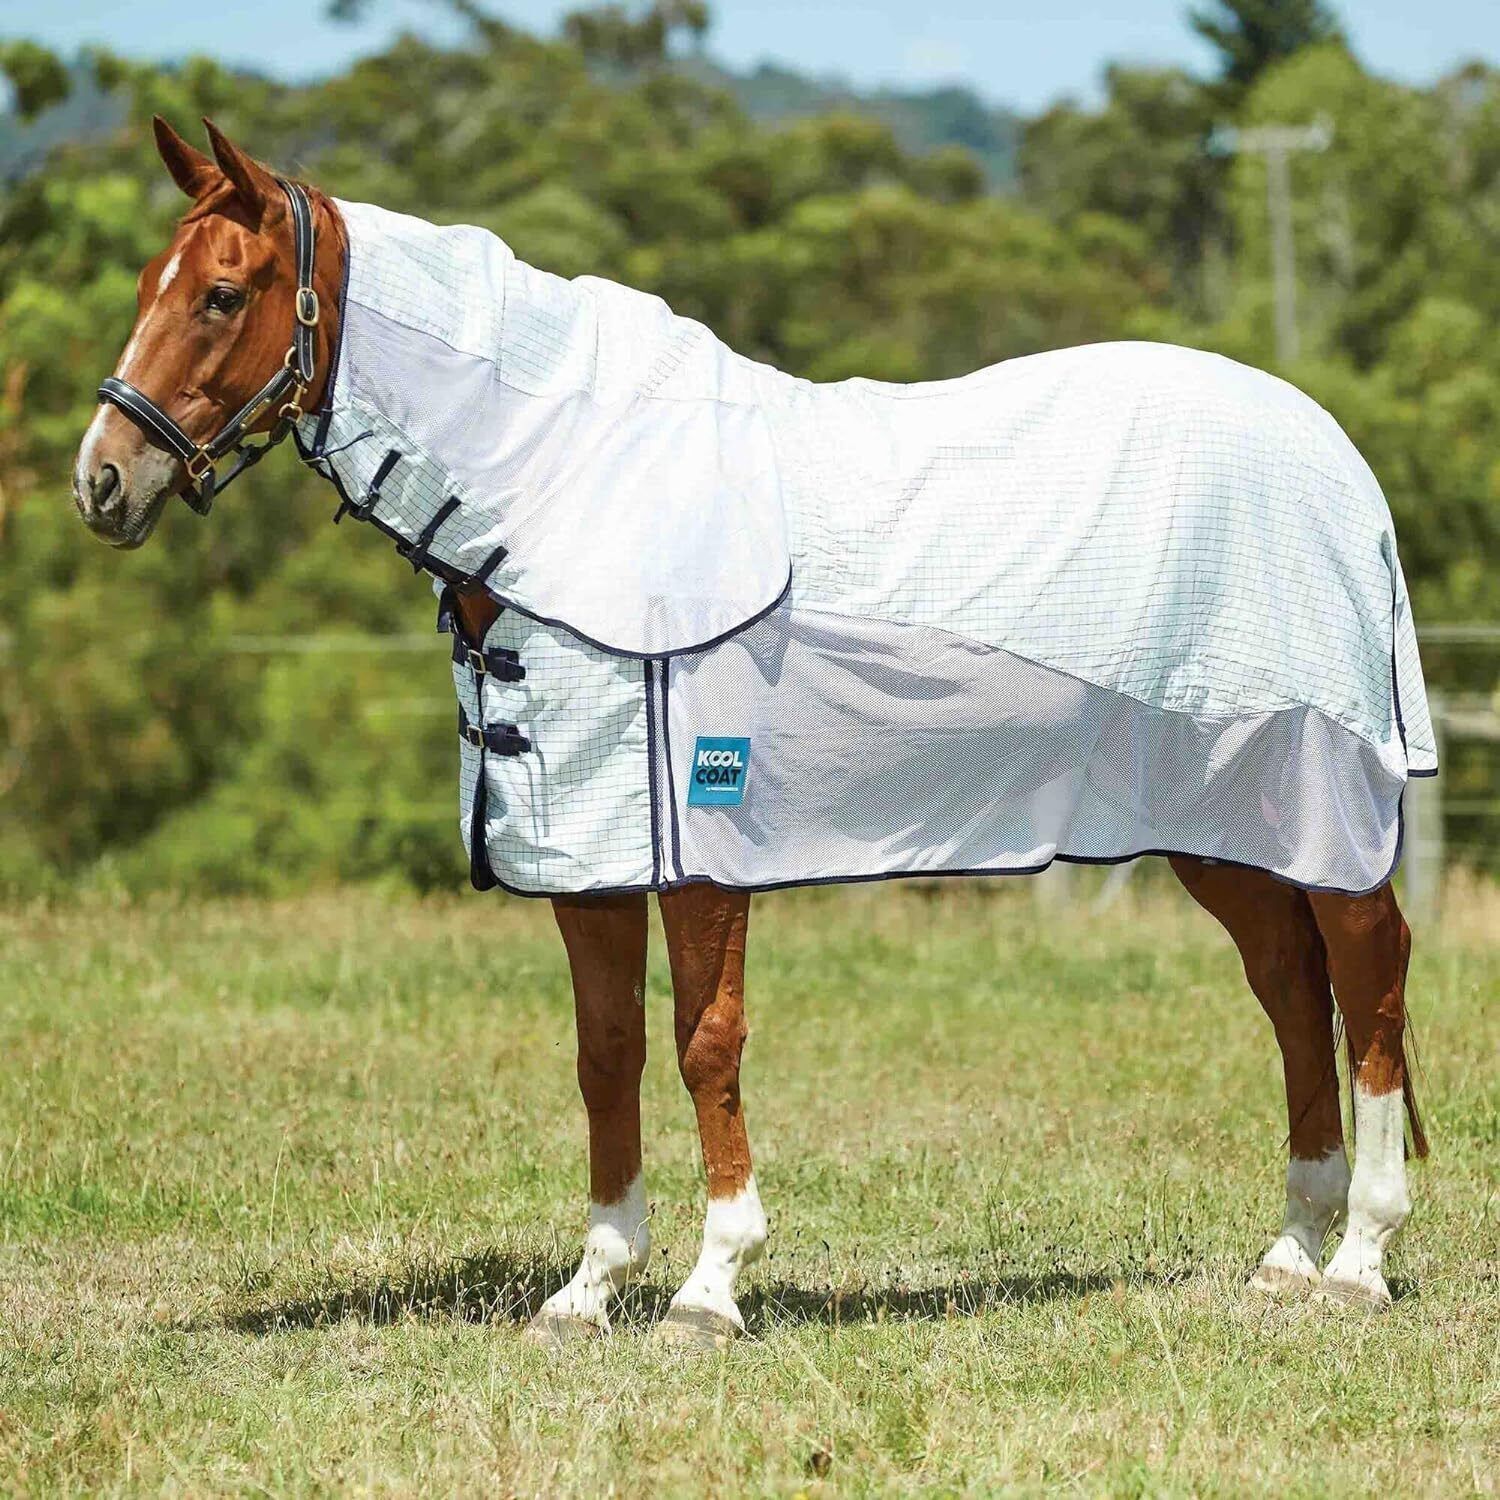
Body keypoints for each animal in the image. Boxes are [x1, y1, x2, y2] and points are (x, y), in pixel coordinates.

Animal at [72, 118, 1430, 1346]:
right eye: (147, 288)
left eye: (222, 295)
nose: (102, 479)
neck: (566, 492)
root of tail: (1340, 467)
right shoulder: (592, 851)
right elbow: (607, 1051)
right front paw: (590, 1287)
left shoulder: (701, 842)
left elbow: (702, 1045)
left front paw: (710, 1285)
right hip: (1223, 824)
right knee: (1289, 989)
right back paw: (1289, 1256)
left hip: (1317, 802)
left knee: (1367, 981)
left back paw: (1360, 1258)